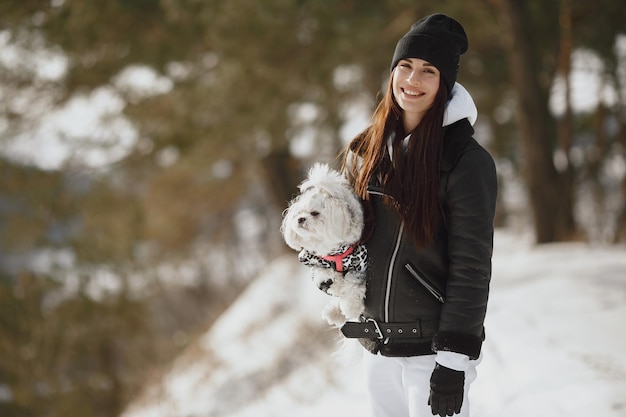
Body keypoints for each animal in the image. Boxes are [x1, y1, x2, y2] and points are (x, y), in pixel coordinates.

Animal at [280, 162, 366, 324]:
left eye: (314, 213)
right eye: (298, 214)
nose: (300, 219)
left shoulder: (359, 267)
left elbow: (351, 283)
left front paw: (351, 307)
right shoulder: (314, 260)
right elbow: (325, 274)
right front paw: (334, 283)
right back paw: (333, 312)